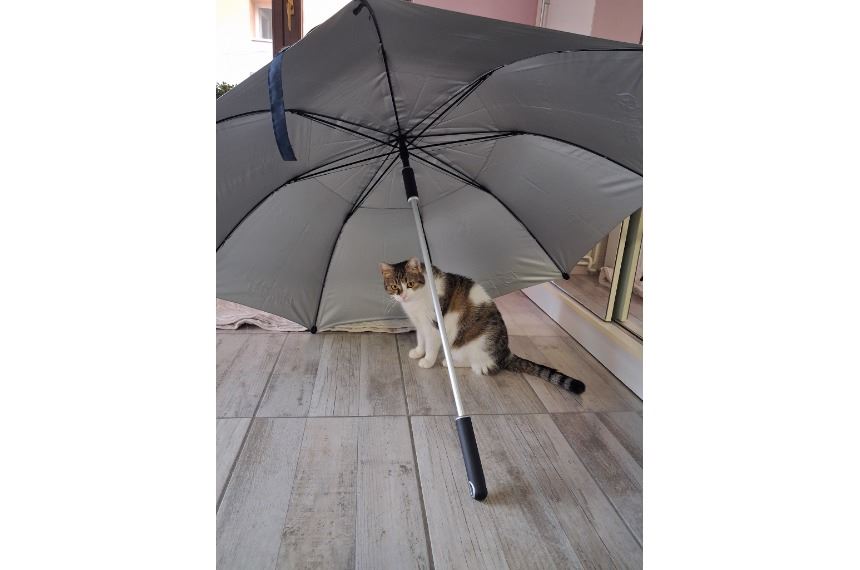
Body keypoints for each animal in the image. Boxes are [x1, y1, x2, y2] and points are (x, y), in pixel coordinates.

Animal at [379, 258, 586, 394]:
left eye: (410, 283)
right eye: (395, 287)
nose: (403, 295)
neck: (416, 300)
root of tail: (505, 352)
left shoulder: (433, 326)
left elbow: (430, 346)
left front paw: (427, 361)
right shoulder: (419, 323)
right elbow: (421, 340)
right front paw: (417, 352)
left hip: (470, 346)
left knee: (480, 366)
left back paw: (449, 362)